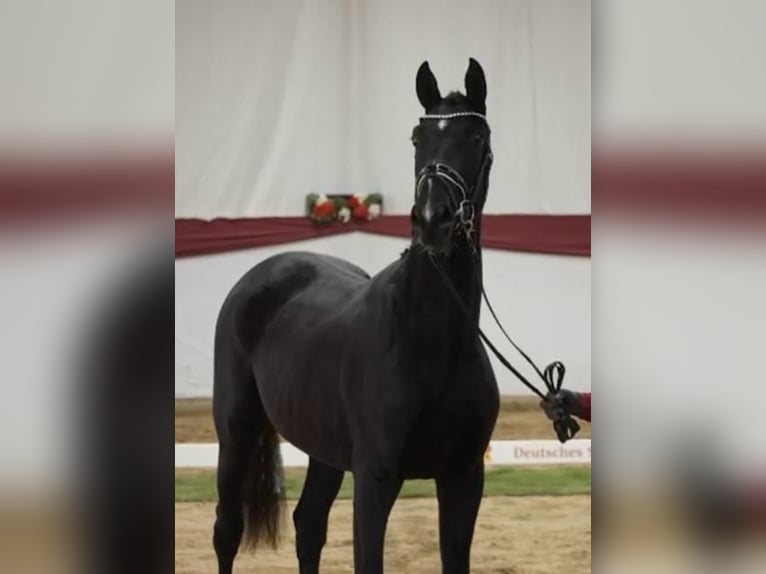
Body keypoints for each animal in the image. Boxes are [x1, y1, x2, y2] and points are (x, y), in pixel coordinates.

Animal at [212, 57, 499, 574]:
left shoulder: (464, 479)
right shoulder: (375, 479)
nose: (435, 219)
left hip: (323, 449)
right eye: (416, 137)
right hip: (235, 431)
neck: (431, 343)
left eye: (475, 138)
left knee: (308, 526)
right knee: (228, 531)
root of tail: (264, 273)